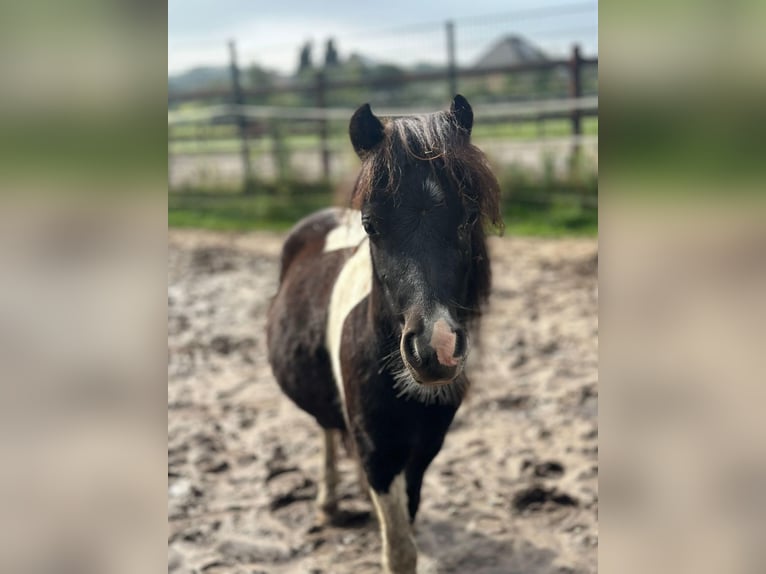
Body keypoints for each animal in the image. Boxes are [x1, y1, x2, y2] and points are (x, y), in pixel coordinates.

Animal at [268, 97, 504, 572]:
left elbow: (407, 526)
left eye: (469, 217)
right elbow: (398, 550)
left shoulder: (423, 450)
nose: (436, 349)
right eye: (371, 225)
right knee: (326, 432)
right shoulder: (378, 453)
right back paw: (327, 505)